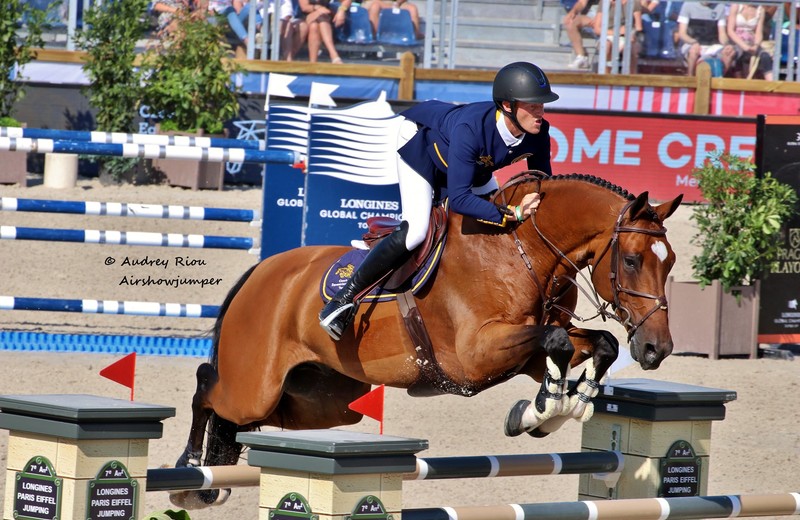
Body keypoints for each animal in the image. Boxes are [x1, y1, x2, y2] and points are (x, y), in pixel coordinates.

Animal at [173, 174, 680, 508]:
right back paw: (187, 475)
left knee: (237, 420)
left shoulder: (524, 354)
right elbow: (556, 341)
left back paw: (210, 480)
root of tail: (260, 272)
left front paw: (556, 408)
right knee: (207, 387)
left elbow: (594, 344)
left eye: (670, 261)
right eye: (632, 260)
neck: (523, 252)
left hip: (318, 402)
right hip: (256, 387)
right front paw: (543, 410)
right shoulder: (476, 357)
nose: (657, 349)